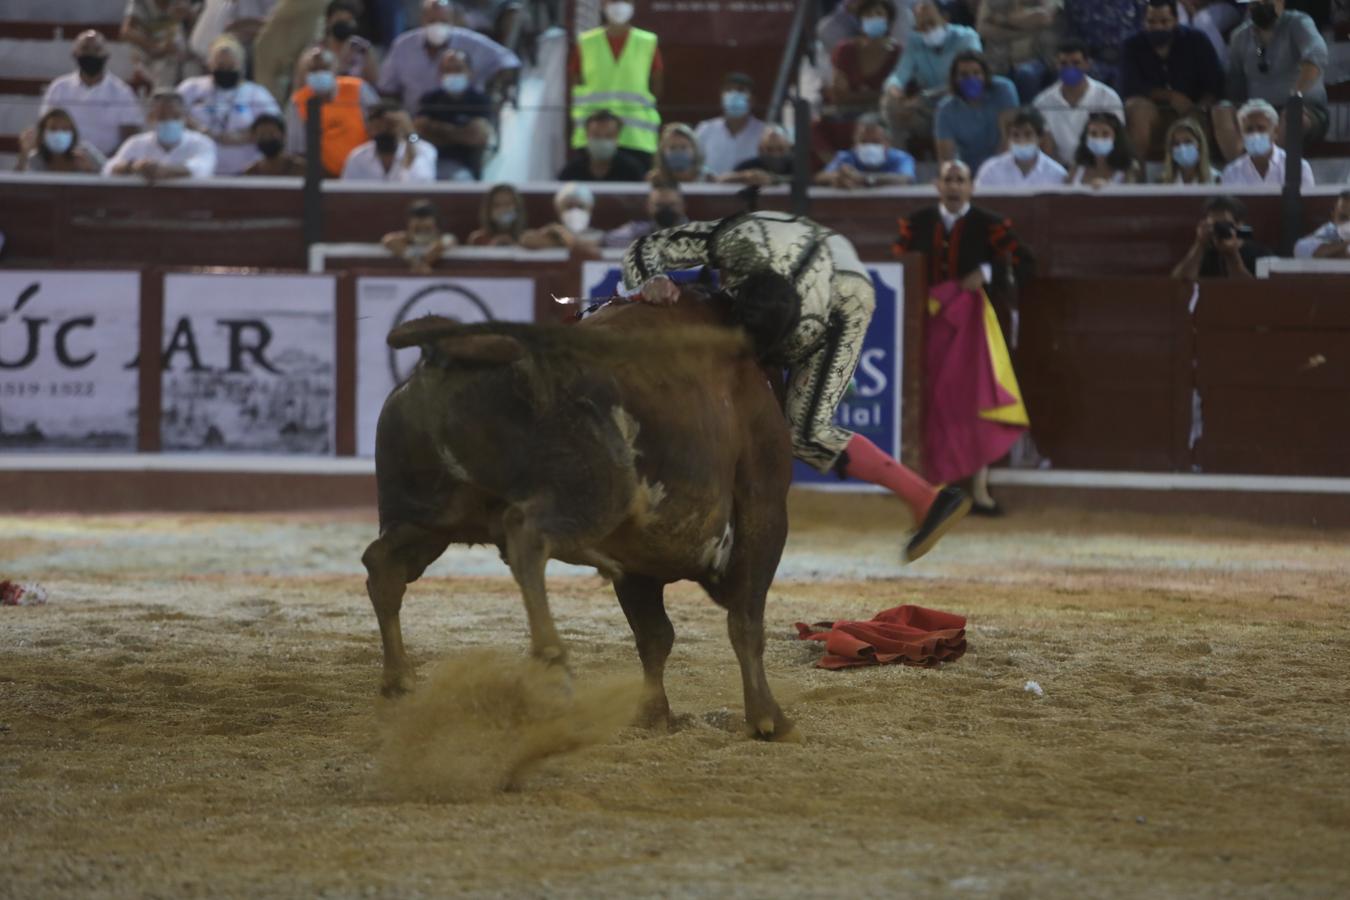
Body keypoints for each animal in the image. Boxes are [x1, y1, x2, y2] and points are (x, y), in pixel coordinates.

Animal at [364, 288, 793, 739]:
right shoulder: (763, 506)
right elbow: (744, 621)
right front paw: (767, 717)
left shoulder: (637, 558)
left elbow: (655, 635)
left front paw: (652, 714)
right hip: (597, 494)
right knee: (526, 535)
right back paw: (551, 657)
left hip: (431, 515)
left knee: (383, 563)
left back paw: (399, 679)